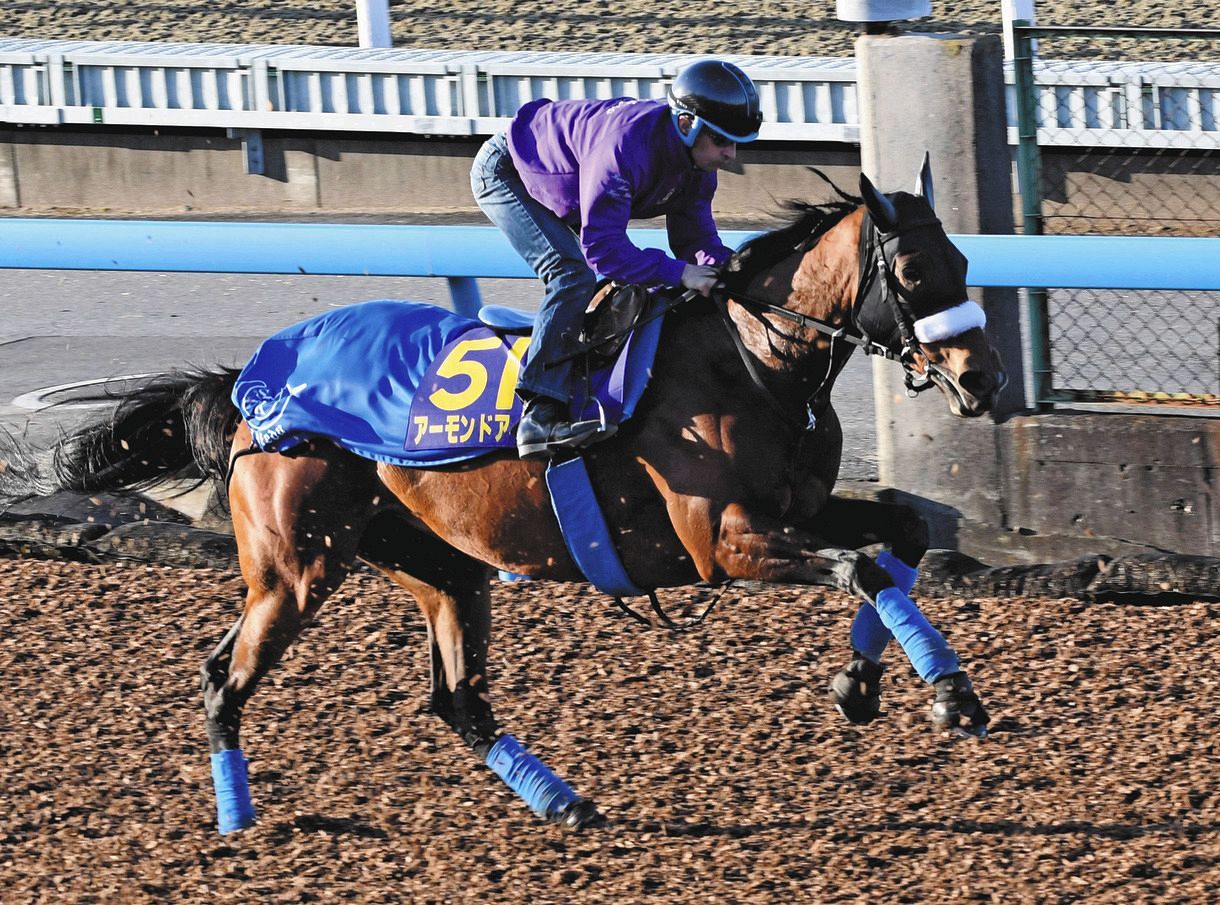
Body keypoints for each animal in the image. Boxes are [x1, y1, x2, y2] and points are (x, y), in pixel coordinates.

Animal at [0, 160, 1005, 834]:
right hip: (295, 567)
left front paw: (868, 683)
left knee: (458, 700)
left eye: (963, 258)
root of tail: (250, 382)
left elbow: (897, 535)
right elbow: (863, 567)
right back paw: (238, 818)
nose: (982, 378)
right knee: (225, 674)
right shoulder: (724, 541)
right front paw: (944, 694)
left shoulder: (799, 509)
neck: (748, 362)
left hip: (440, 562)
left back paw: (564, 800)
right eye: (914, 273)